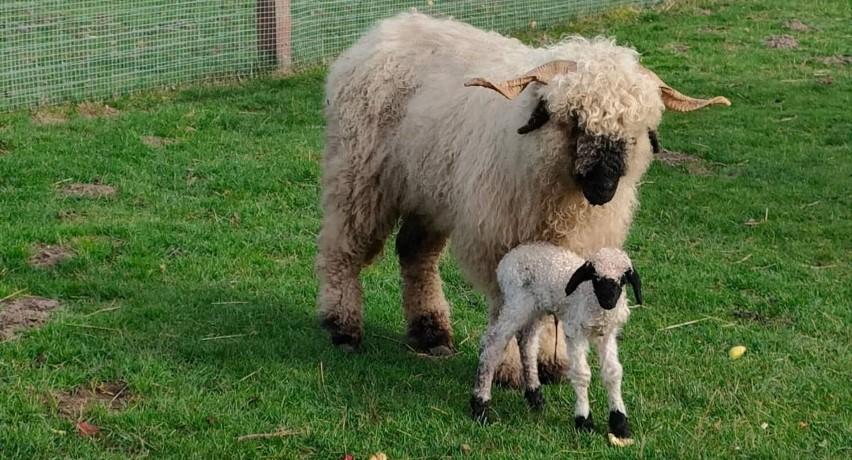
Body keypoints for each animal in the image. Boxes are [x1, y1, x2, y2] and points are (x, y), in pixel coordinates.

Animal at [316, 11, 728, 384]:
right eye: (574, 120)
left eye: (635, 132)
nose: (604, 188)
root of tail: (384, 28)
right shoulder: (500, 239)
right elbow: (507, 306)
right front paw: (508, 368)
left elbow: (553, 304)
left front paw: (551, 361)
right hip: (358, 176)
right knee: (342, 247)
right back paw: (342, 326)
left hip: (428, 193)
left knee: (415, 255)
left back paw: (431, 332)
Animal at [470, 243, 644, 444]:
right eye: (595, 277)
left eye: (623, 279)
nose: (608, 301)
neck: (590, 297)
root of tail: (511, 256)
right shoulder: (575, 331)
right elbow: (581, 374)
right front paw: (584, 421)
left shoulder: (607, 334)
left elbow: (612, 373)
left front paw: (620, 424)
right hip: (517, 302)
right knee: (492, 343)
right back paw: (480, 406)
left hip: (536, 307)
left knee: (527, 343)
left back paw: (535, 396)